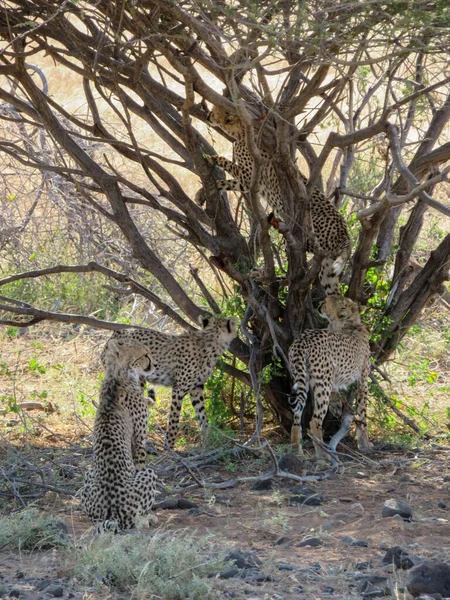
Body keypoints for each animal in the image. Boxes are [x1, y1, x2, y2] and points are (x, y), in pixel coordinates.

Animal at [80, 340, 157, 532]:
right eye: (144, 355)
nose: (155, 364)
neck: (117, 375)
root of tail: (111, 513)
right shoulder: (139, 441)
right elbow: (140, 462)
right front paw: (150, 514)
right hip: (149, 474)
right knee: (135, 519)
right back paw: (147, 518)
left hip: (89, 474)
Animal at [100, 316, 237, 448]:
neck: (210, 341)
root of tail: (115, 334)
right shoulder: (178, 389)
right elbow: (174, 421)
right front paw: (169, 447)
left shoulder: (196, 389)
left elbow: (203, 417)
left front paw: (206, 443)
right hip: (136, 380)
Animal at [288, 296, 372, 460]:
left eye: (327, 302)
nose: (320, 303)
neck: (348, 324)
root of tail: (302, 339)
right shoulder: (363, 382)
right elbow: (363, 414)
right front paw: (365, 444)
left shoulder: (334, 382)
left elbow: (339, 398)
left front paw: (338, 408)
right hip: (322, 384)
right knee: (314, 421)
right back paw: (324, 455)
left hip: (302, 379)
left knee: (296, 416)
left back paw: (296, 450)